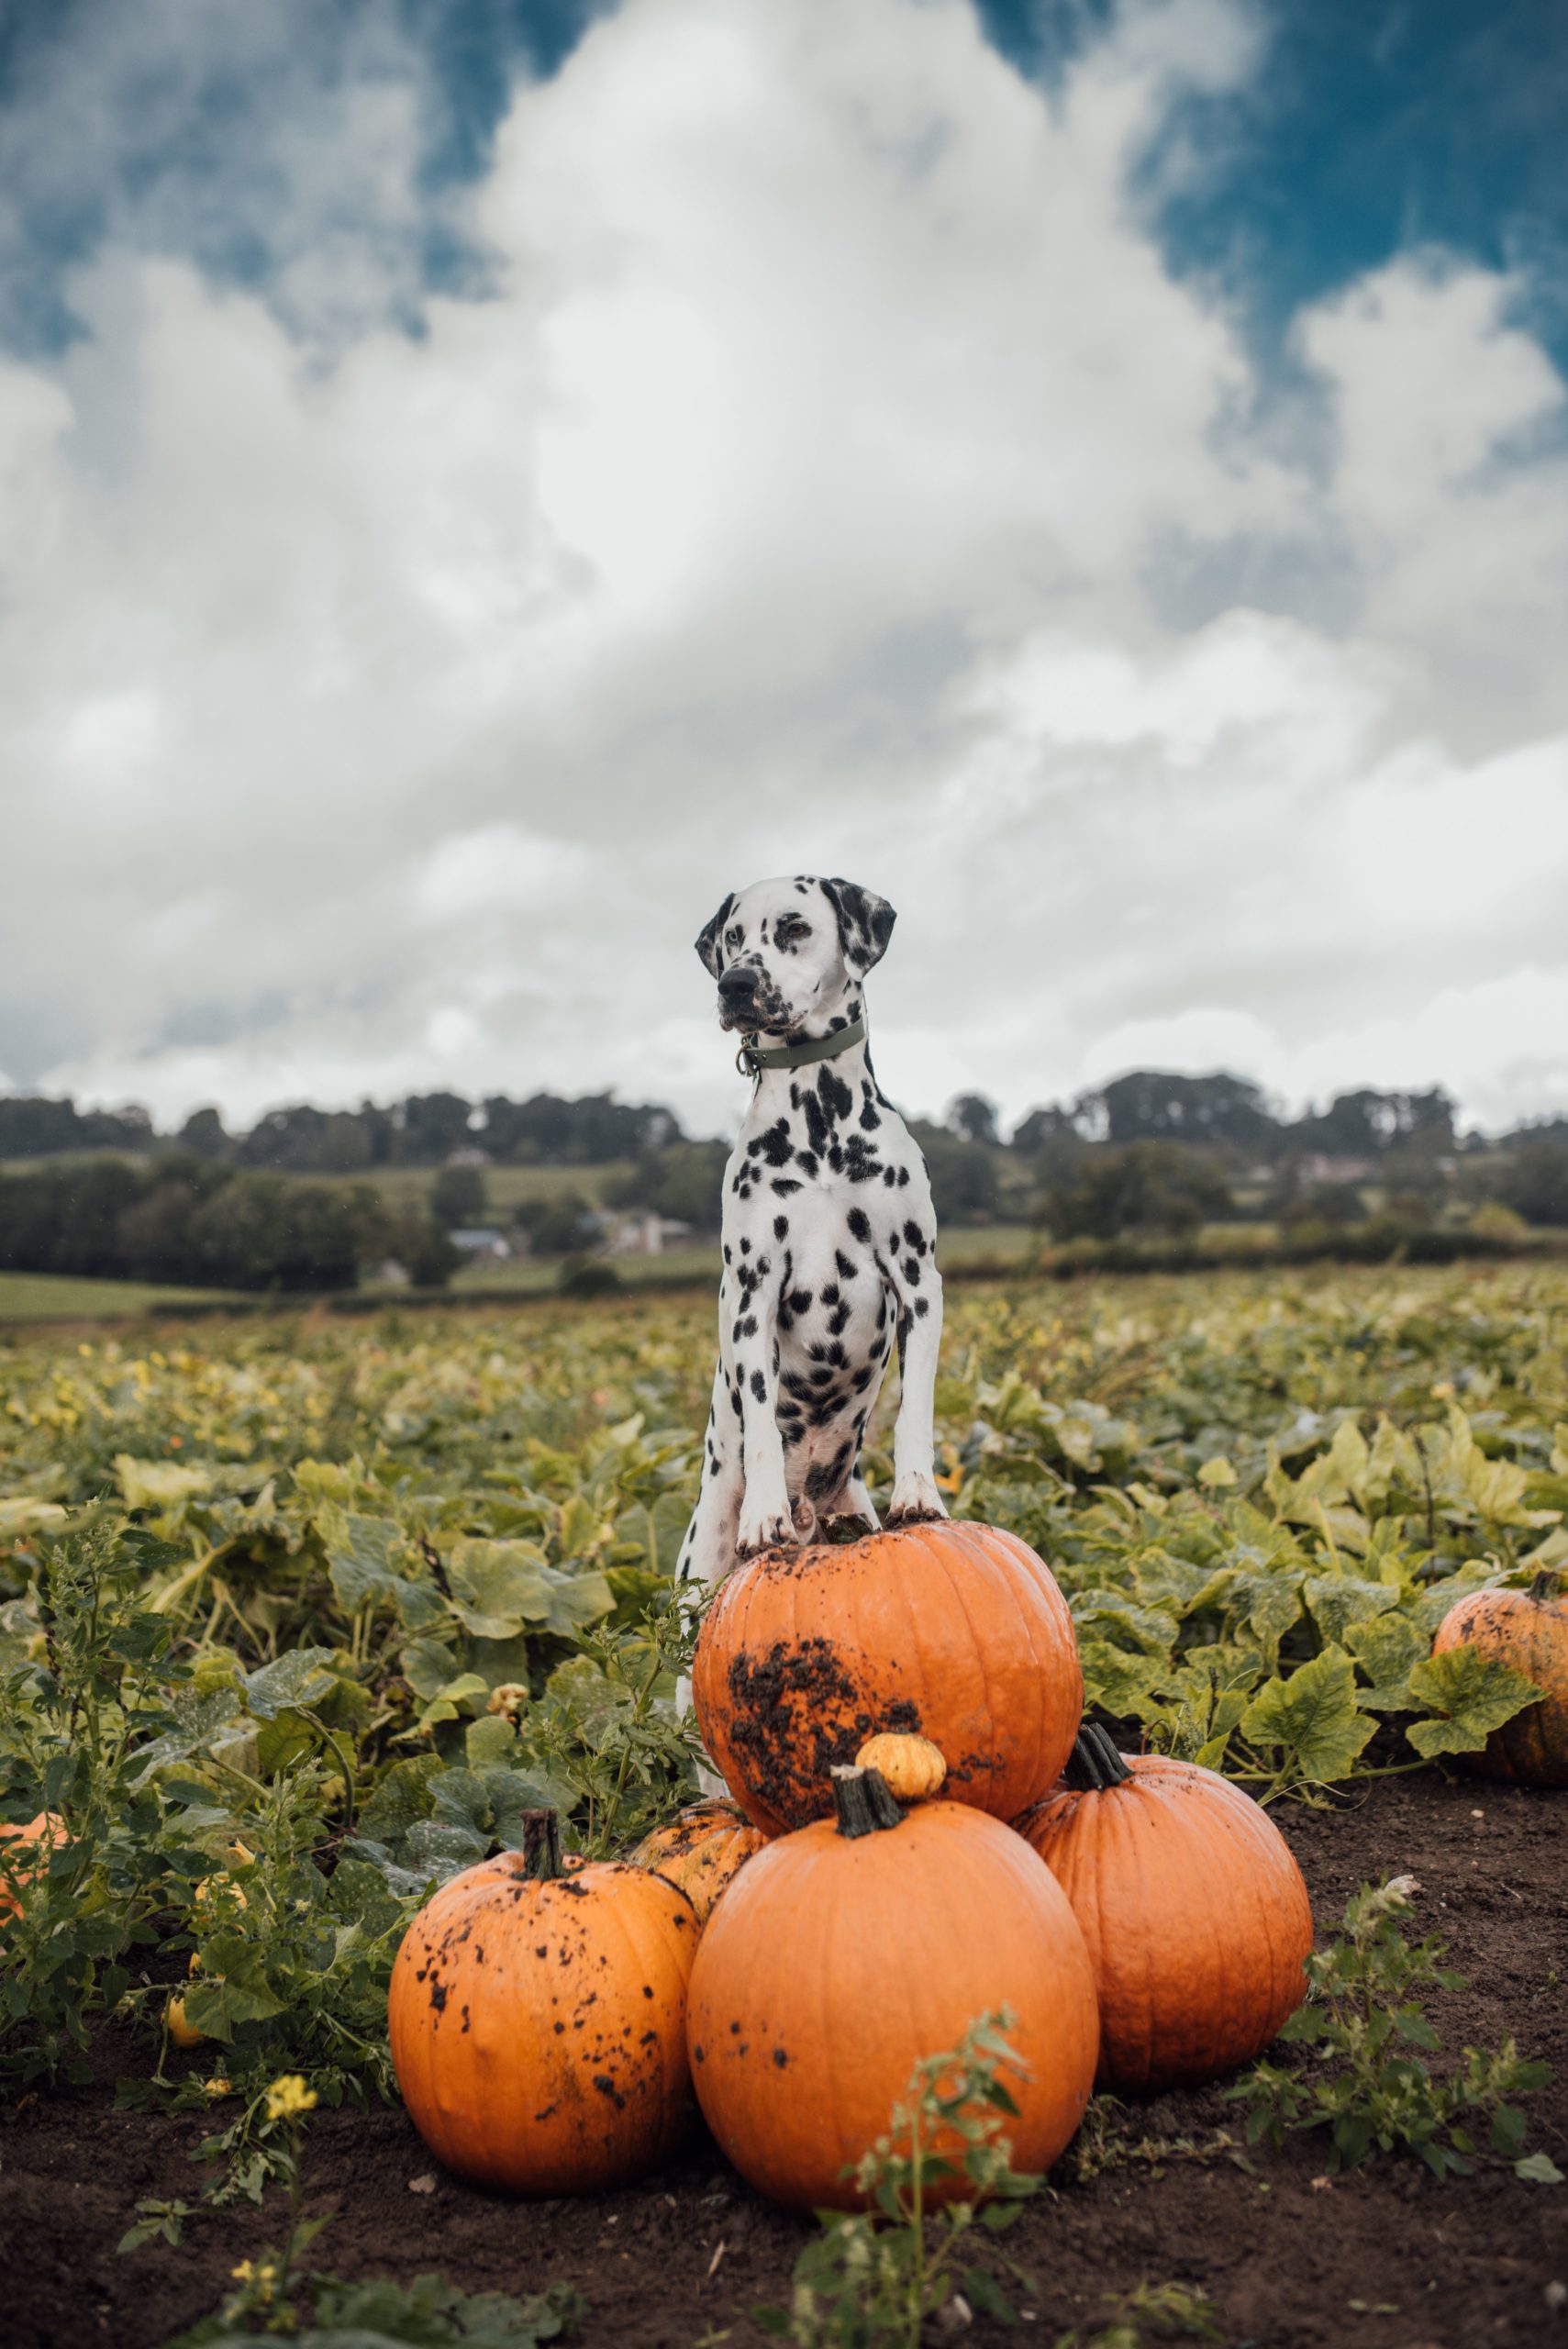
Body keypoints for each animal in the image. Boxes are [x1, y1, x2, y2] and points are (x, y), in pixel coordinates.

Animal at [675, 874, 943, 1625]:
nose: (735, 983)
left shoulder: (918, 1281)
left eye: (794, 927)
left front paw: (919, 1491)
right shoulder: (752, 1293)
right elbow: (762, 1419)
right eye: (734, 938)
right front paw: (764, 1514)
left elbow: (916, 1406)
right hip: (696, 1581)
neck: (818, 1122)